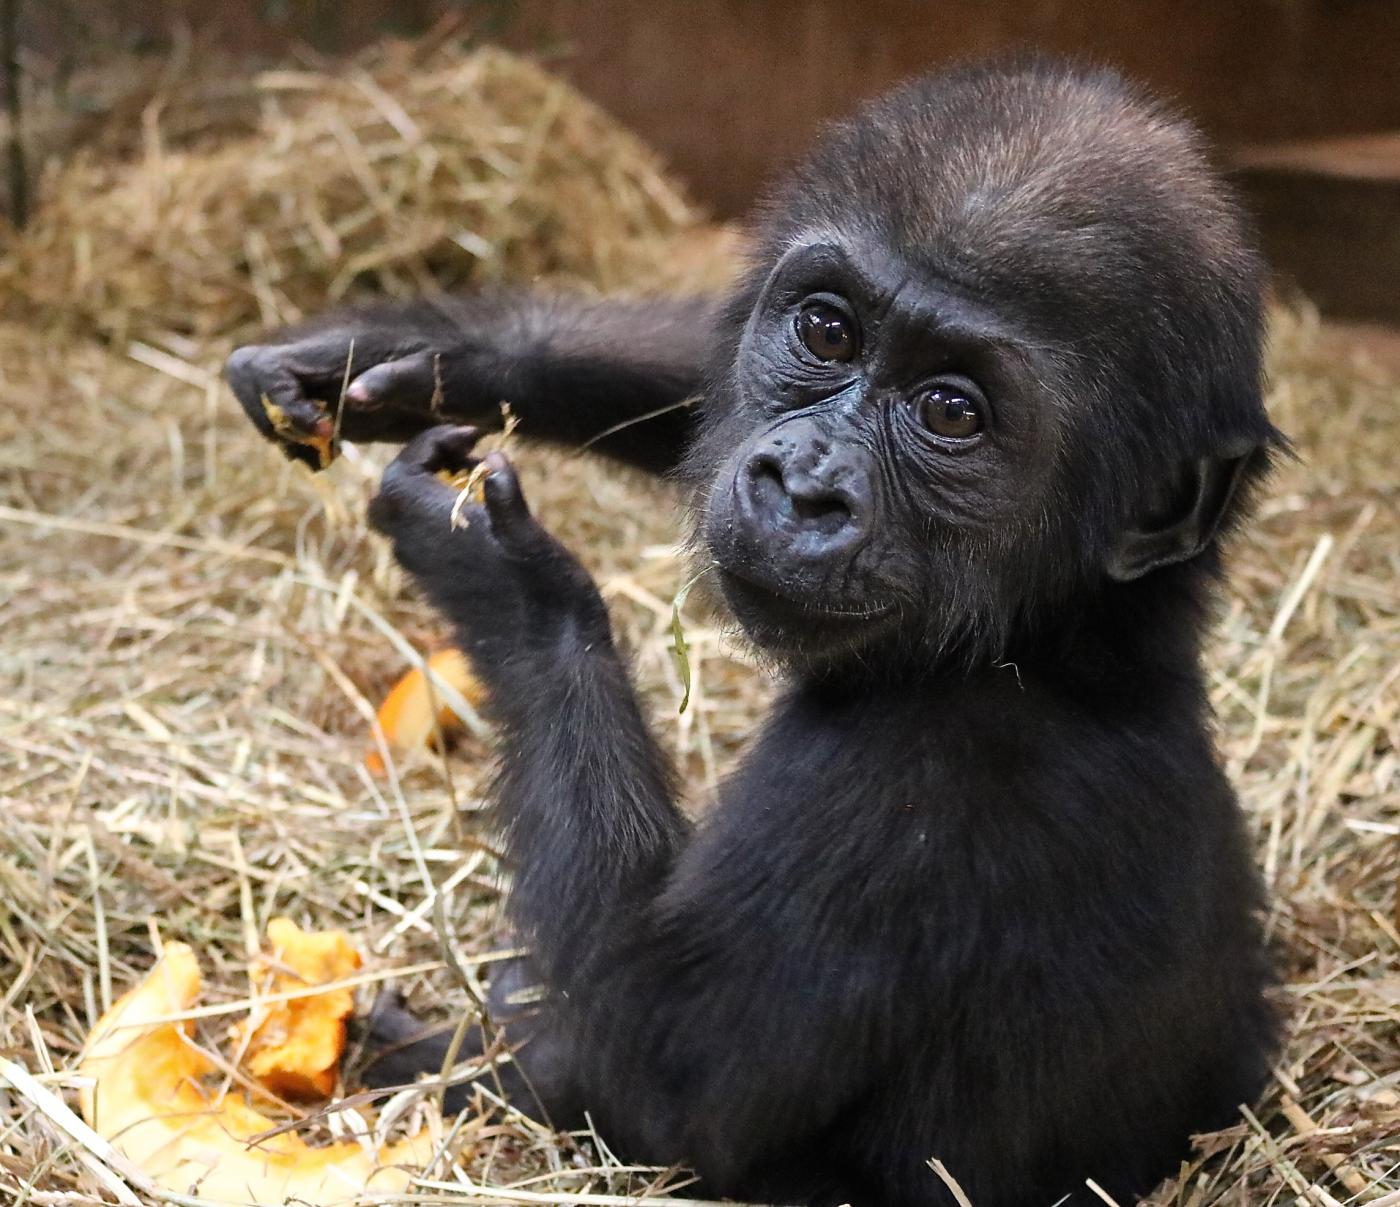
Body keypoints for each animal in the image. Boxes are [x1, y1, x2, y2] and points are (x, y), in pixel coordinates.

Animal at [226, 59, 1282, 1207]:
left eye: (953, 413)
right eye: (826, 333)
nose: (806, 484)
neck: (1061, 644)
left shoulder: (902, 789)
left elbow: (672, 1069)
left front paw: (503, 576)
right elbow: (702, 369)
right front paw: (403, 358)